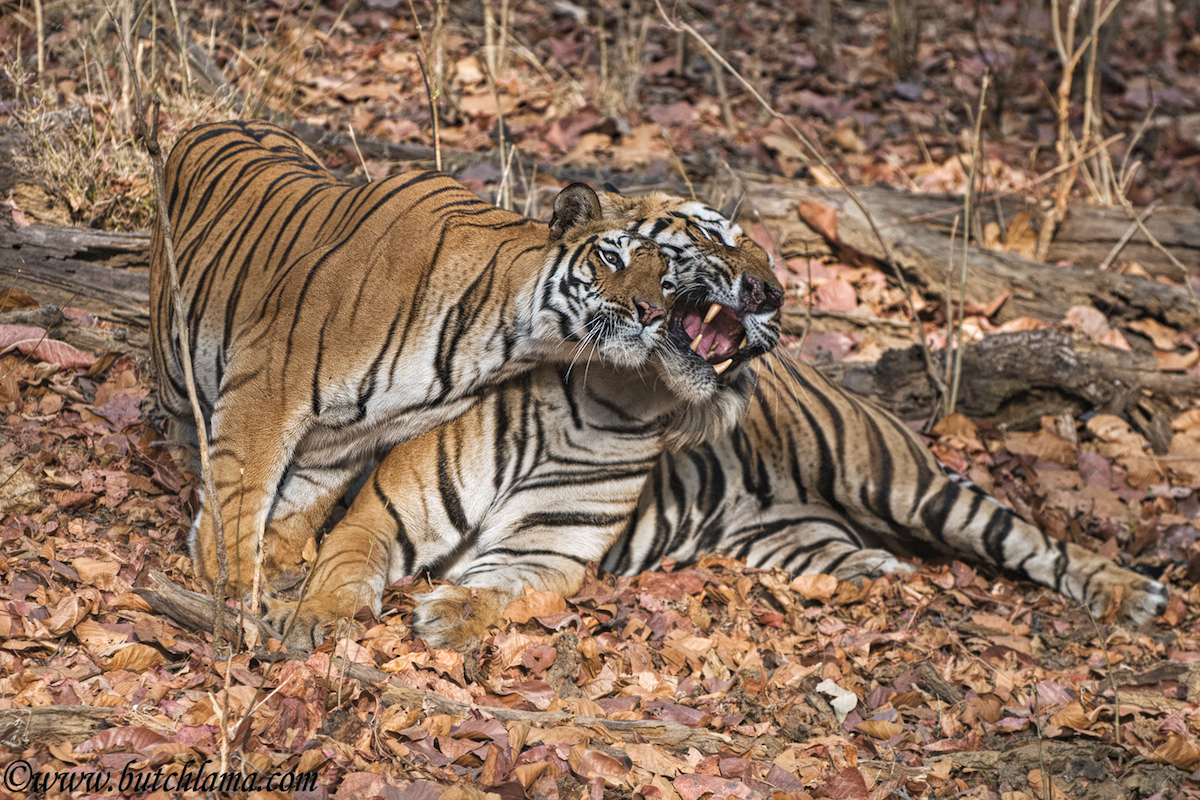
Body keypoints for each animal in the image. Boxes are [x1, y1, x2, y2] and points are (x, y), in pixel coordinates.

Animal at [150, 120, 698, 595]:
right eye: (612, 257)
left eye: (667, 283)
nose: (654, 312)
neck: (507, 341)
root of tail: (209, 123)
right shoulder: (269, 382)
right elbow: (243, 488)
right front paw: (231, 581)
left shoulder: (347, 437)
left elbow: (302, 503)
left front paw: (282, 569)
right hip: (176, 359)